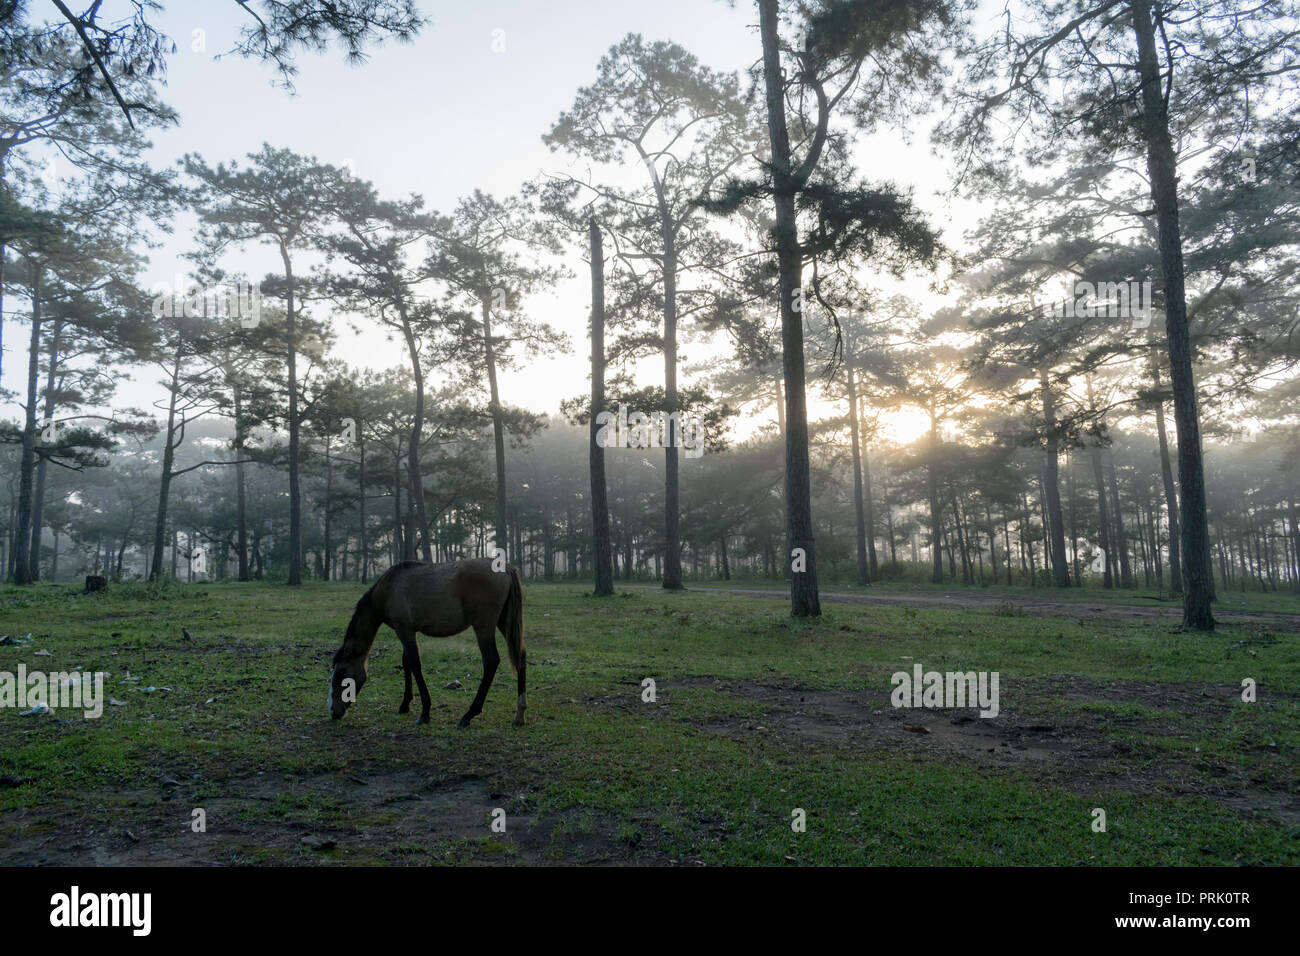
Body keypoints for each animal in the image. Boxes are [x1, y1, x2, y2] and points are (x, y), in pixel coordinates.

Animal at [327, 561, 525, 723]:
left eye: (341, 674)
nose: (333, 711)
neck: (388, 589)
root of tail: (507, 568)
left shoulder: (404, 630)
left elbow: (415, 664)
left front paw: (425, 712)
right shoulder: (407, 631)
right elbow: (406, 662)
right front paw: (405, 704)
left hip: (483, 627)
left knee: (491, 661)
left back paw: (469, 714)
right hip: (504, 622)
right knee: (521, 656)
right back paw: (519, 714)